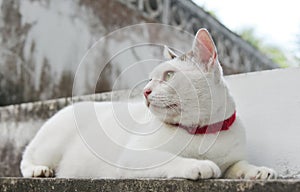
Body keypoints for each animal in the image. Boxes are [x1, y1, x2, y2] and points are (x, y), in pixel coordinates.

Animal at [19, 28, 276, 180]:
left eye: (169, 75)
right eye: (151, 79)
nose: (145, 91)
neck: (200, 131)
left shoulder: (233, 161)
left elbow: (240, 165)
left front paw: (259, 170)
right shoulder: (134, 157)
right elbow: (170, 158)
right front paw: (198, 165)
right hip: (51, 143)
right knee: (25, 158)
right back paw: (38, 170)